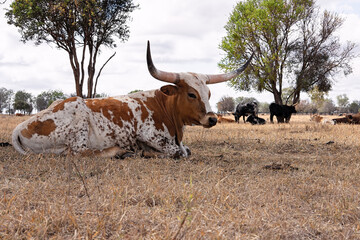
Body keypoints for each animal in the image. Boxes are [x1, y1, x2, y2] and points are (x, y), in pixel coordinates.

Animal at [11, 40, 253, 158]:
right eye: (191, 94)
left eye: (209, 94)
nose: (212, 119)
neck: (165, 109)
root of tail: (20, 127)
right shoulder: (149, 135)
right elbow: (179, 152)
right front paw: (145, 152)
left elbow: (186, 150)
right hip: (78, 122)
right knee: (80, 152)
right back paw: (119, 151)